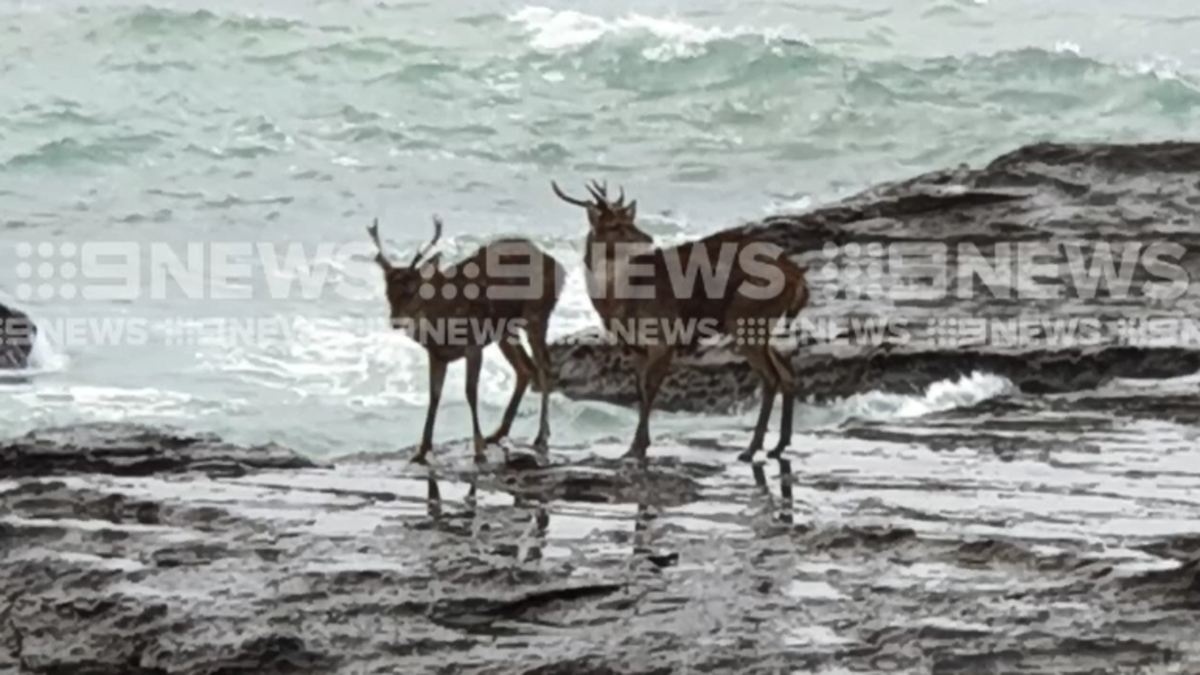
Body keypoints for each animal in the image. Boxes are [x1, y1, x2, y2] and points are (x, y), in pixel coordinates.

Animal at [365, 215, 566, 465]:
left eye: (413, 290)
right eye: (388, 293)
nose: (396, 321)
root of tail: (559, 267)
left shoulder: (474, 343)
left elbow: (470, 391)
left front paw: (478, 450)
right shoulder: (437, 354)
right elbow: (434, 396)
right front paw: (422, 451)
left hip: (537, 313)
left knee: (544, 367)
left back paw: (541, 436)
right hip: (505, 330)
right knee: (525, 369)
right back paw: (498, 433)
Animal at [551, 180, 809, 464]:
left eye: (629, 220)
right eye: (615, 225)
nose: (648, 239)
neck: (621, 300)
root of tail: (796, 276)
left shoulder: (663, 337)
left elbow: (651, 389)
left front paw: (637, 448)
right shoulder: (636, 347)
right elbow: (640, 390)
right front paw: (637, 446)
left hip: (746, 317)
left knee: (770, 377)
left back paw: (751, 450)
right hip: (762, 325)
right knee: (787, 372)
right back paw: (779, 445)